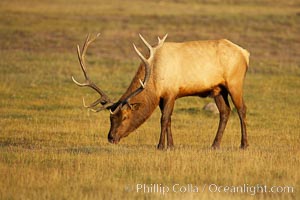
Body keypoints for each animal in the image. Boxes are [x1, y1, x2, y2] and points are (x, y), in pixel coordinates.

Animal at [71, 33, 250, 148]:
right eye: (110, 118)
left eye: (125, 117)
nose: (111, 137)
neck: (155, 81)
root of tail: (245, 53)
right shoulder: (162, 98)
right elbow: (168, 119)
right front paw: (171, 145)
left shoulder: (171, 92)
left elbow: (163, 119)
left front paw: (160, 145)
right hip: (218, 89)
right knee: (225, 111)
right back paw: (215, 145)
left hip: (235, 82)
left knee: (241, 109)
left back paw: (244, 144)